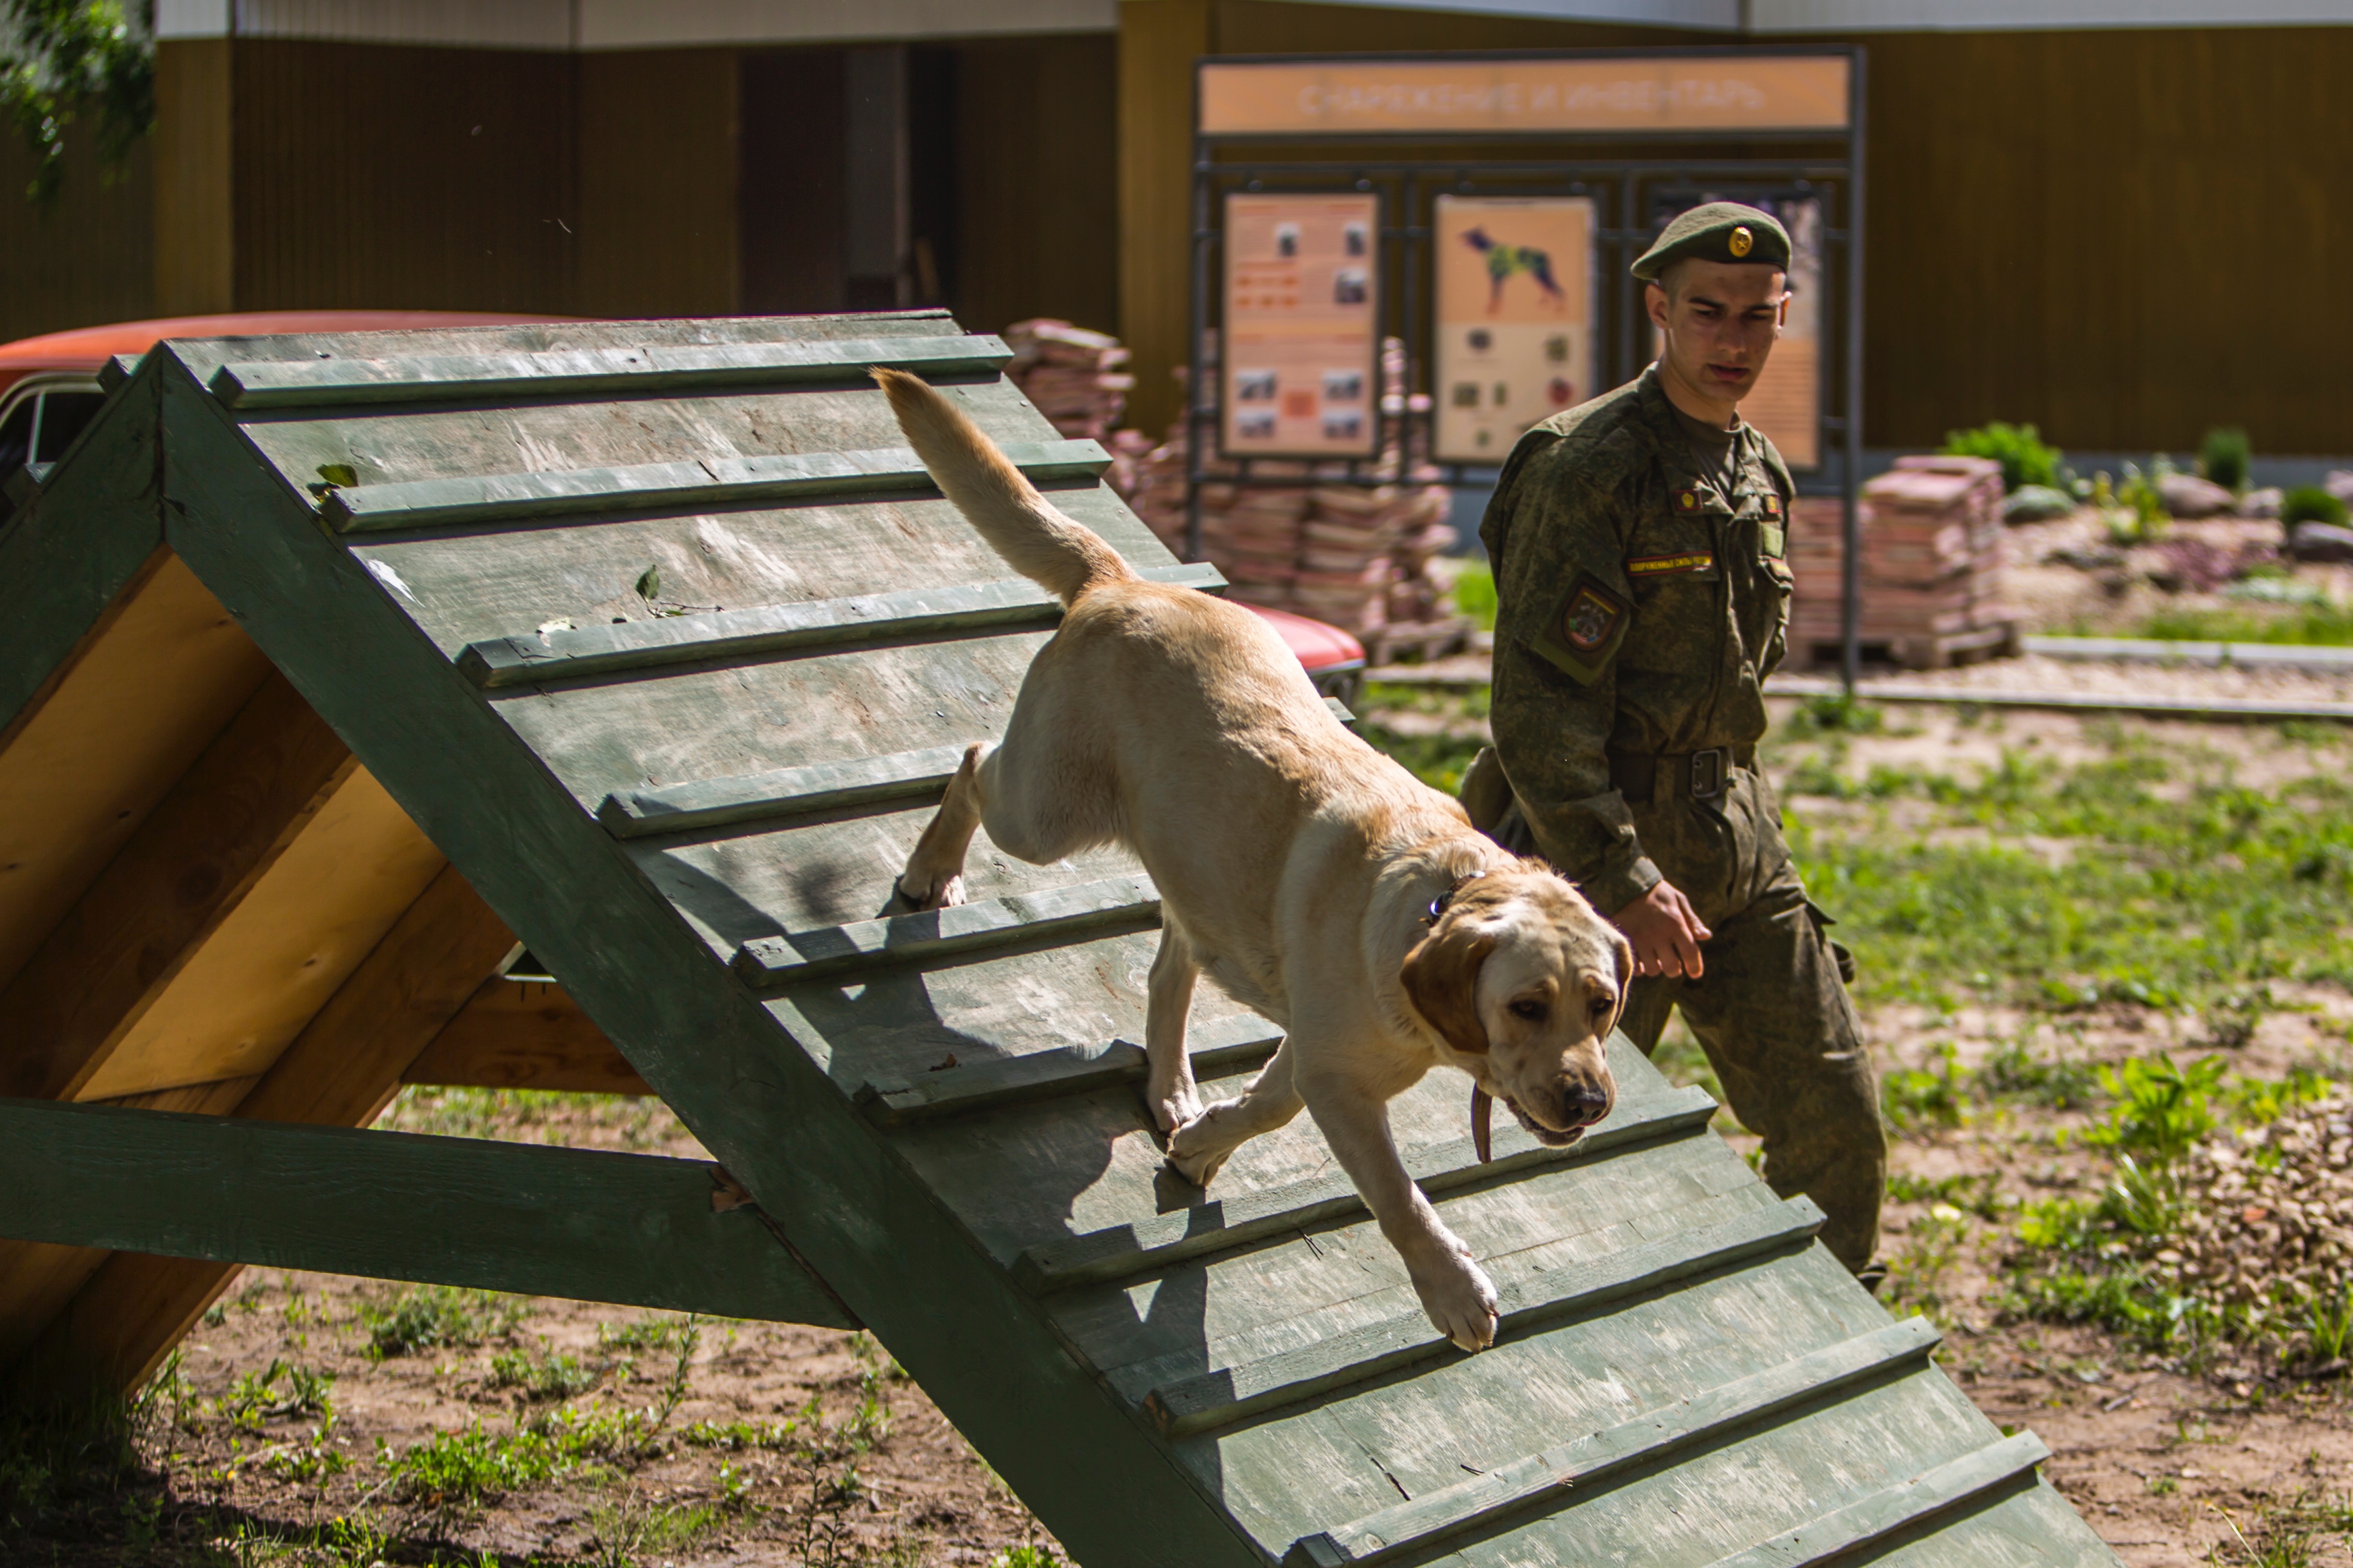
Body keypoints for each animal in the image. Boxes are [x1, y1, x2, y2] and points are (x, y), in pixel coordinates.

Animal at [875, 369, 1628, 1354]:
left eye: (1603, 1004)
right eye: (1526, 1005)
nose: (1589, 1102)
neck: (1440, 898)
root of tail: (1122, 582)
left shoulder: (1314, 1053)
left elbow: (1269, 1104)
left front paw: (1200, 1144)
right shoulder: (1337, 1079)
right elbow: (1397, 1197)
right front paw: (1452, 1288)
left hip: (1191, 865)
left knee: (1169, 967)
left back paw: (1173, 1087)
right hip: (1043, 813)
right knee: (969, 763)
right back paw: (931, 869)